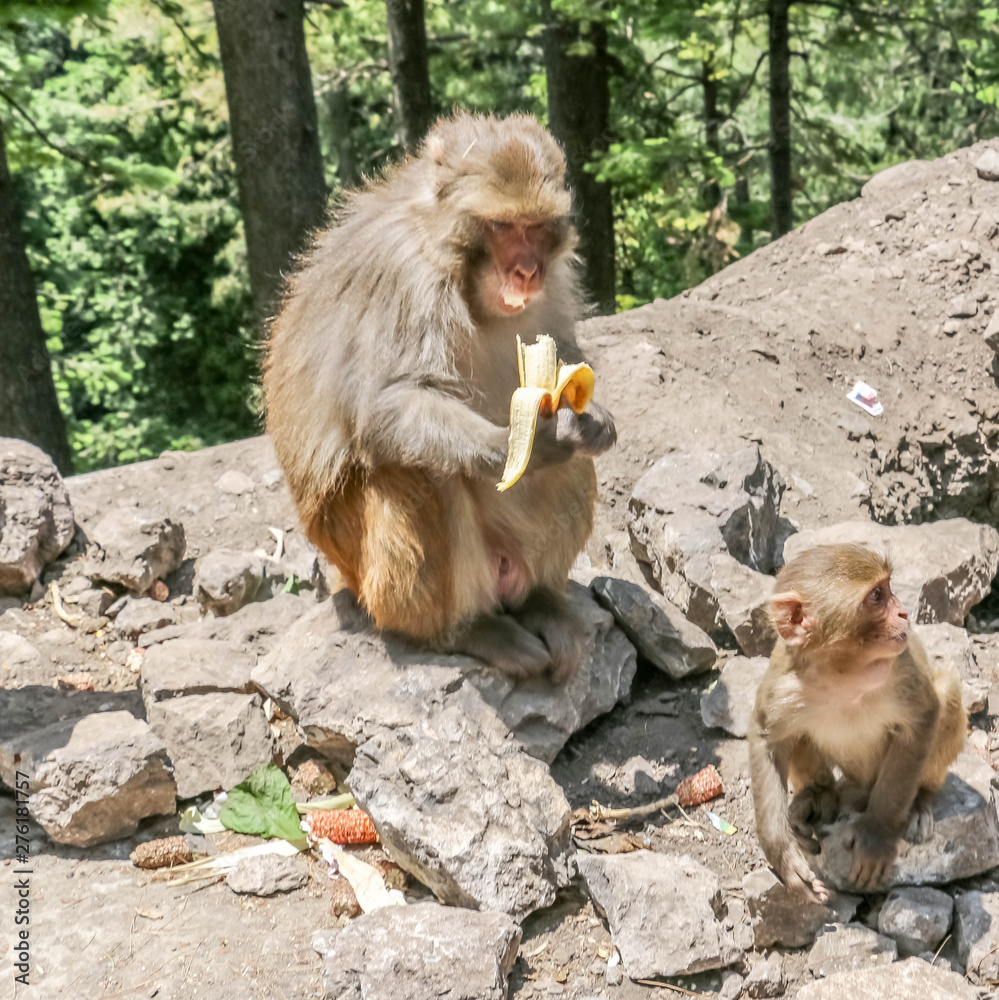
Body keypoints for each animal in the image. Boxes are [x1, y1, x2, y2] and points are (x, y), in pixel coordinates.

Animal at [263, 113, 617, 683]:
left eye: (536, 227)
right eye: (503, 227)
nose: (527, 270)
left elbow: (563, 354)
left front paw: (595, 419)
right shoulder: (403, 276)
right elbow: (387, 407)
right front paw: (526, 445)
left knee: (573, 464)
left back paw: (538, 600)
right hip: (367, 575)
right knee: (418, 471)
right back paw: (463, 630)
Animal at [748, 543, 966, 901]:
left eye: (888, 588)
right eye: (876, 595)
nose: (904, 614)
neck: (842, 670)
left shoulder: (899, 667)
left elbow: (922, 716)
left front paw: (875, 834)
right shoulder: (784, 681)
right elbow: (768, 735)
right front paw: (783, 854)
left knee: (946, 691)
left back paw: (919, 801)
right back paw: (819, 798)